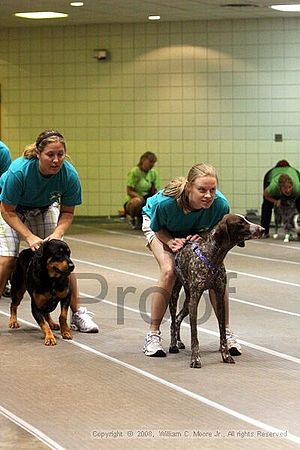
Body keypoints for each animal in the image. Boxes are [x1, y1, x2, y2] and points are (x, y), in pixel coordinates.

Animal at [169, 215, 264, 370]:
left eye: (246, 219)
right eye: (240, 223)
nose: (262, 229)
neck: (213, 257)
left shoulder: (219, 297)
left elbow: (222, 333)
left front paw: (226, 356)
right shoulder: (195, 300)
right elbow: (194, 336)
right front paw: (195, 359)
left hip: (188, 302)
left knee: (177, 319)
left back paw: (179, 342)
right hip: (176, 295)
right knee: (172, 320)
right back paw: (173, 345)